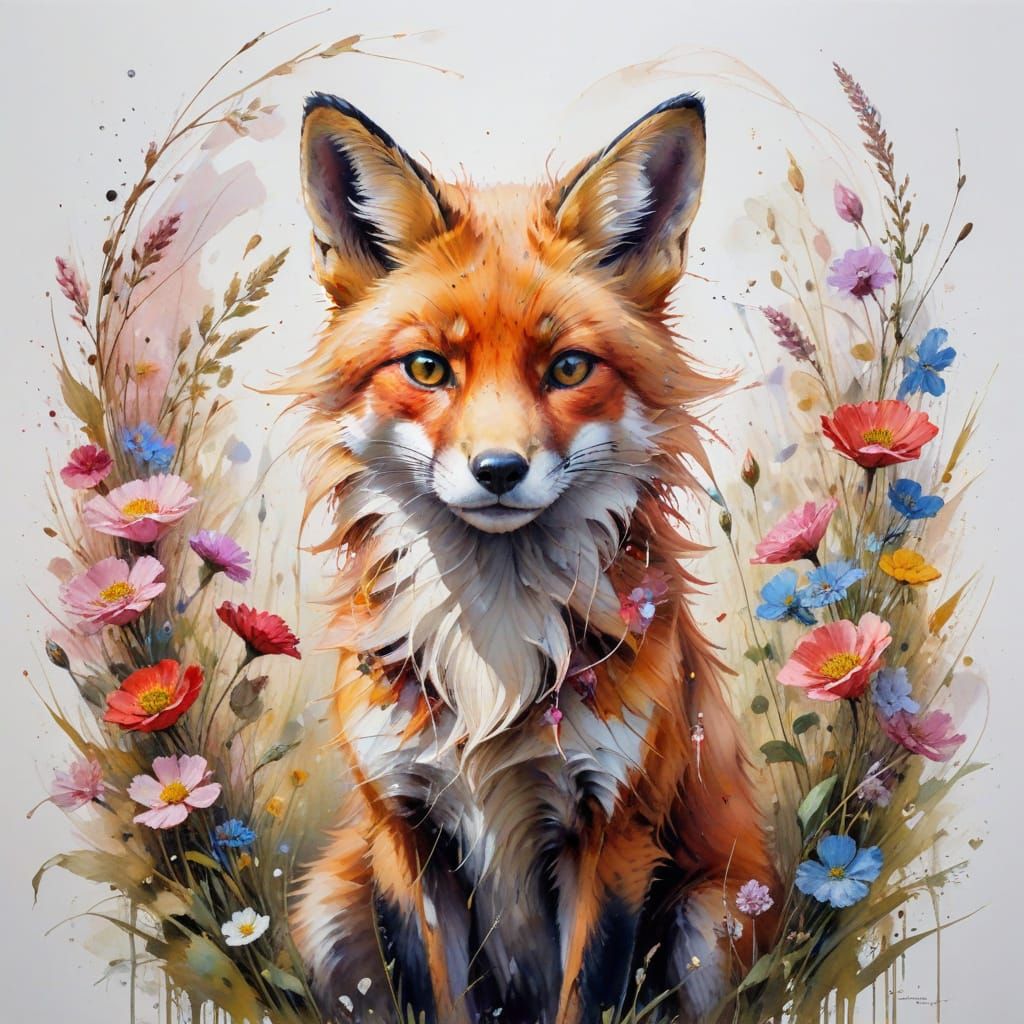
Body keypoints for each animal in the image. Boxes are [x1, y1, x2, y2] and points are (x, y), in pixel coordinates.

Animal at [283, 91, 779, 1024]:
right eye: (428, 367)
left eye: (569, 368)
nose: (499, 470)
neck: (493, 642)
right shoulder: (406, 834)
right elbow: (437, 1000)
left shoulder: (613, 834)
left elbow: (587, 996)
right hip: (329, 910)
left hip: (712, 924)